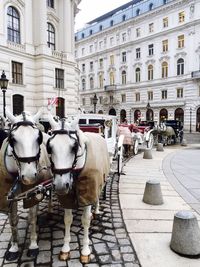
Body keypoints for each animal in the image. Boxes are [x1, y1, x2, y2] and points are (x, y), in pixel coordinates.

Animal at [0, 110, 51, 262]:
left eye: (38, 138)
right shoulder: (9, 196)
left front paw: (33, 246)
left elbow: (32, 218)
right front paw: (14, 248)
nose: (29, 176)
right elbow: (13, 220)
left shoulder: (33, 192)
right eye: (12, 139)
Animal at [46, 114, 110, 264]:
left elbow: (85, 220)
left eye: (74, 147)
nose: (60, 185)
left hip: (100, 181)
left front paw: (85, 251)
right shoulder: (67, 197)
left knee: (97, 196)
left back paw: (96, 210)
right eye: (49, 147)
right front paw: (65, 249)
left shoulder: (89, 191)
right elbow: (67, 219)